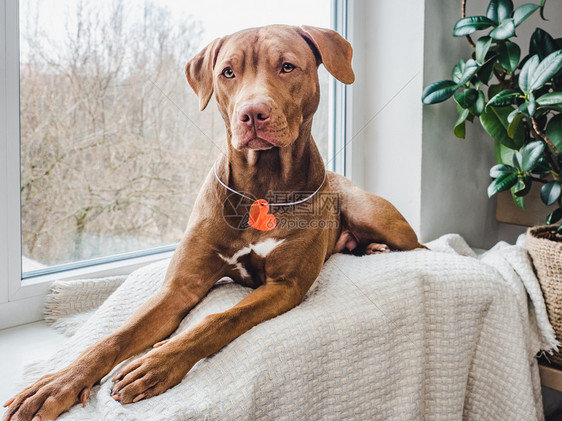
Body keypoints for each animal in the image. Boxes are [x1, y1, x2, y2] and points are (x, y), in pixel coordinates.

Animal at [3, 24, 420, 418]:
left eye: (287, 66)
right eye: (228, 72)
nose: (252, 113)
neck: (261, 185)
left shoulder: (284, 286)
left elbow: (217, 320)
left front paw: (157, 363)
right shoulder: (178, 287)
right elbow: (115, 337)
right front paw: (57, 385)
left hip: (372, 214)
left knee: (418, 245)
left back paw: (376, 246)